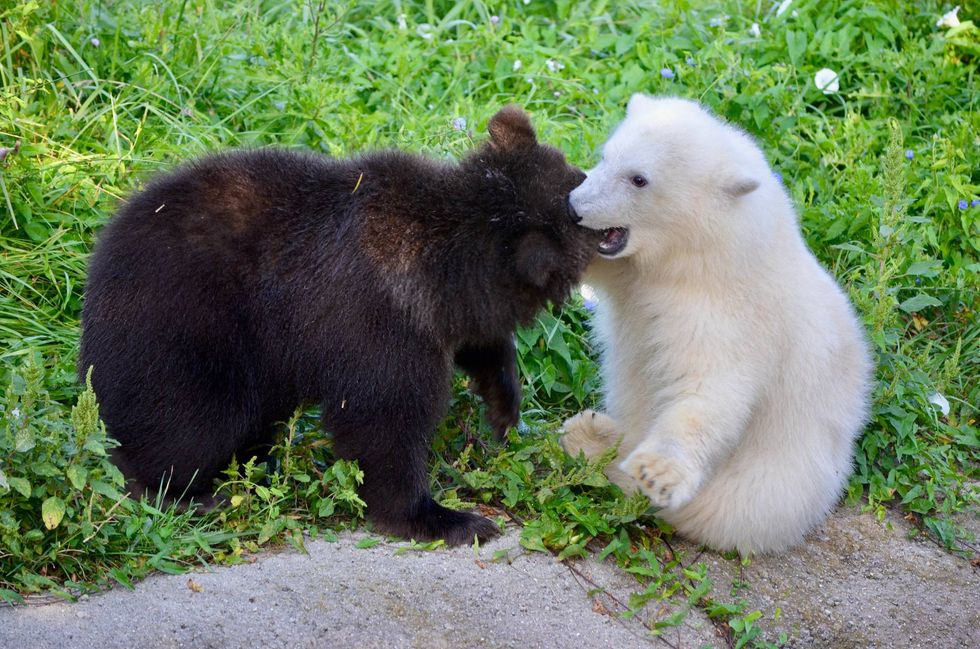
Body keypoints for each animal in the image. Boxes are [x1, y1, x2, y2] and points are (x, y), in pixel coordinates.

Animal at [79, 106, 601, 545]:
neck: (442, 270)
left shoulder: (441, 316)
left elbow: (480, 343)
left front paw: (504, 408)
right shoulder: (378, 325)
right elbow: (383, 421)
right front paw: (446, 517)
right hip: (187, 332)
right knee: (194, 421)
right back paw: (182, 491)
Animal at [560, 95, 873, 554]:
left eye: (639, 179)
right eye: (606, 156)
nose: (575, 206)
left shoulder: (729, 317)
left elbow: (710, 390)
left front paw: (657, 471)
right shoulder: (634, 274)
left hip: (763, 492)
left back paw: (595, 443)